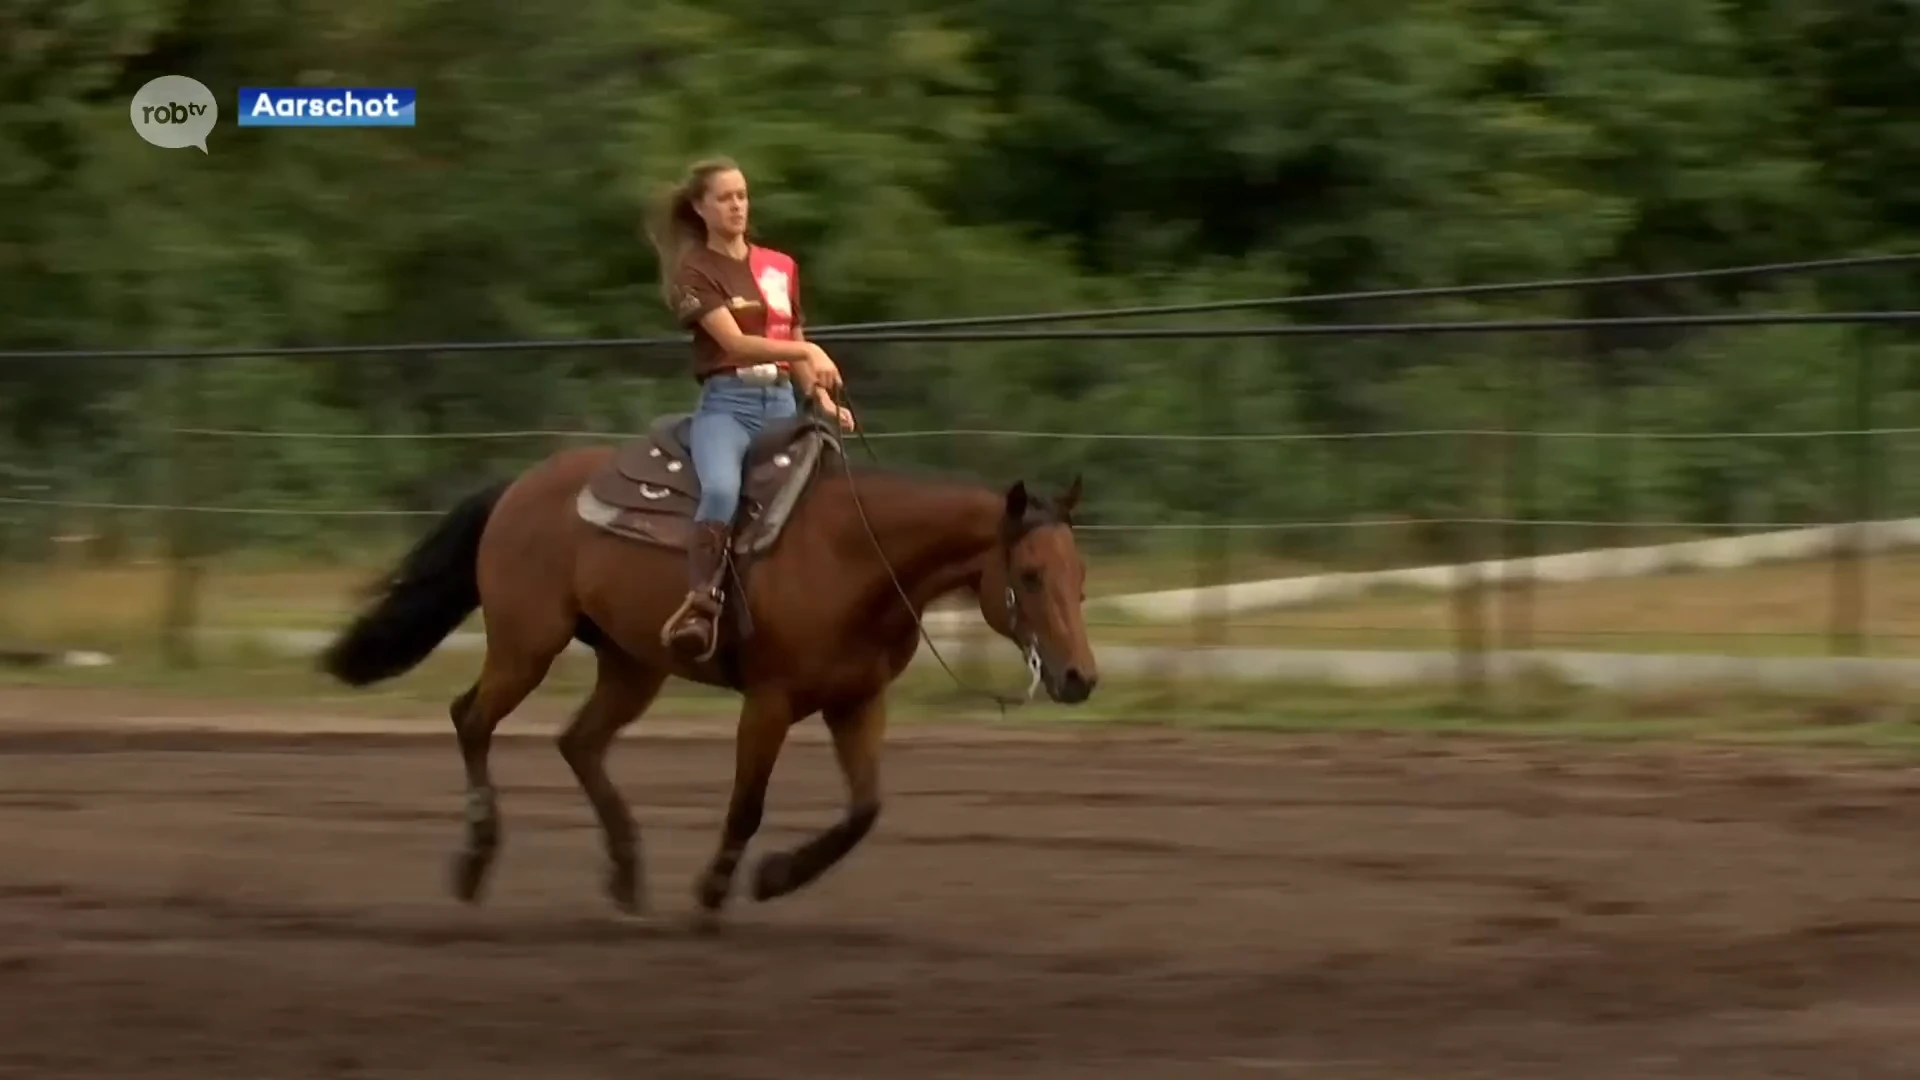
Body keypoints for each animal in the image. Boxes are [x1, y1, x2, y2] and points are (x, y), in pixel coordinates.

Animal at [314, 403, 1098, 914]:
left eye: (1081, 576)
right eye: (1031, 576)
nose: (1080, 678)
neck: (857, 555)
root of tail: (519, 487)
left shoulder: (857, 701)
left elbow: (865, 810)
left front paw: (777, 876)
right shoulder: (770, 701)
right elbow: (746, 806)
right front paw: (715, 890)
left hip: (632, 664)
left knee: (579, 742)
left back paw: (627, 871)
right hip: (525, 644)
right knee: (472, 720)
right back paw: (478, 859)